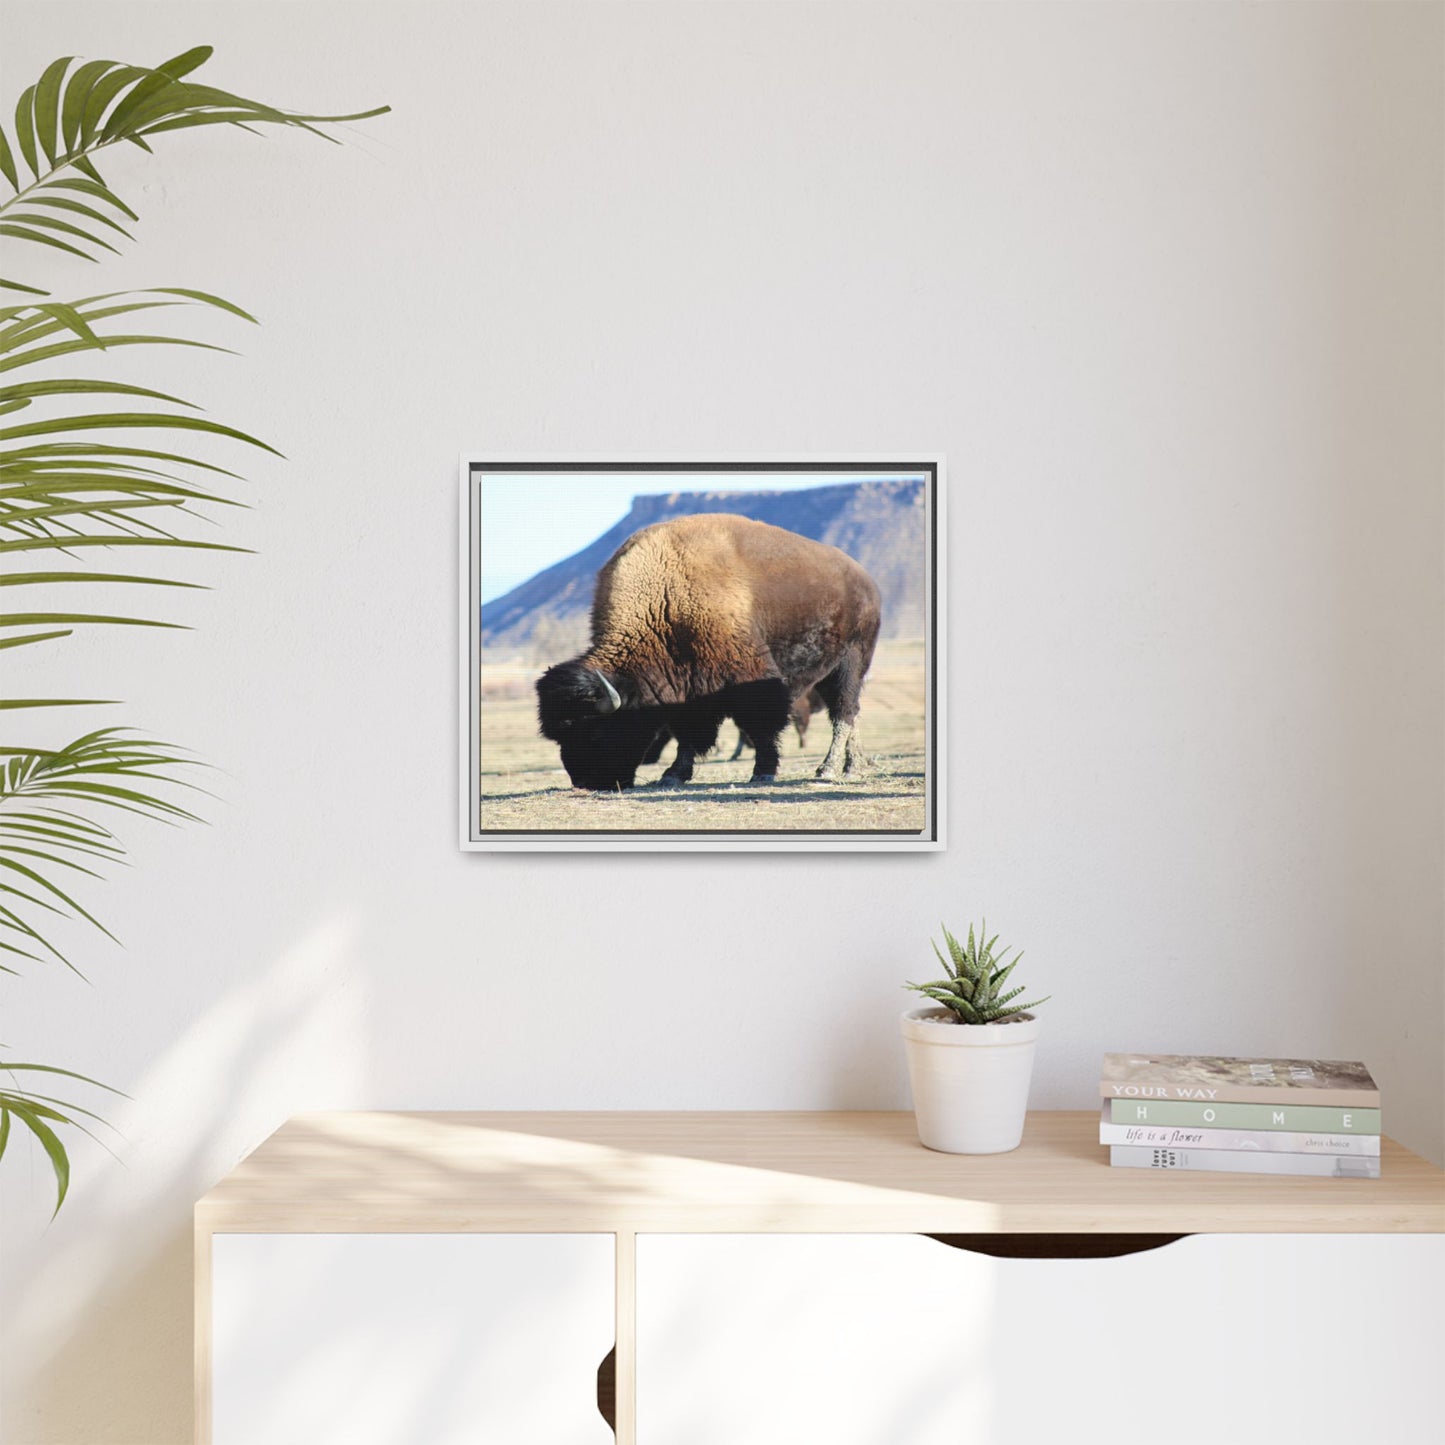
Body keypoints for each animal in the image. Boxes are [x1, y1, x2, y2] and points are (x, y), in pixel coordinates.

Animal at [536, 513, 881, 791]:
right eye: (560, 736)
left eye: (594, 731)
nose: (585, 782)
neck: (664, 599)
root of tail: (865, 580)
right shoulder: (686, 690)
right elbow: (688, 734)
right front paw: (673, 775)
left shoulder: (751, 679)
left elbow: (762, 725)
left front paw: (763, 772)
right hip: (829, 671)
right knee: (849, 713)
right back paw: (853, 766)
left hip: (851, 663)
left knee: (843, 712)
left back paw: (831, 769)